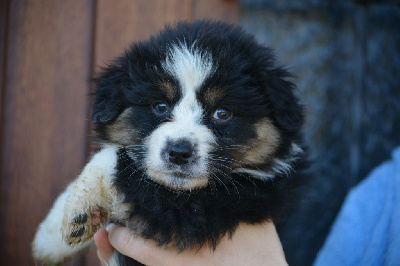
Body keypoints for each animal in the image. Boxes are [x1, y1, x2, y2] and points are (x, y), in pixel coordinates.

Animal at [32, 21, 304, 266]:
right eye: (160, 106)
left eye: (223, 113)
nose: (179, 152)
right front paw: (50, 237)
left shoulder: (212, 205)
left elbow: (116, 160)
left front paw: (78, 208)